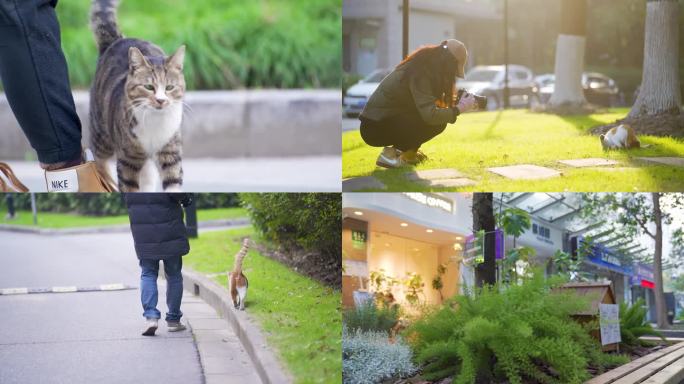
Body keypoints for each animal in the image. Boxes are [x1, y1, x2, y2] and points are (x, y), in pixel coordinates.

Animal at [91, 0, 188, 191]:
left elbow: (173, 182)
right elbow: (128, 186)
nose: (160, 100)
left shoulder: (170, 151)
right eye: (149, 87)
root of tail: (117, 40)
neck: (155, 122)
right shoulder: (128, 159)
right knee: (98, 160)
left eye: (170, 87)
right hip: (102, 134)